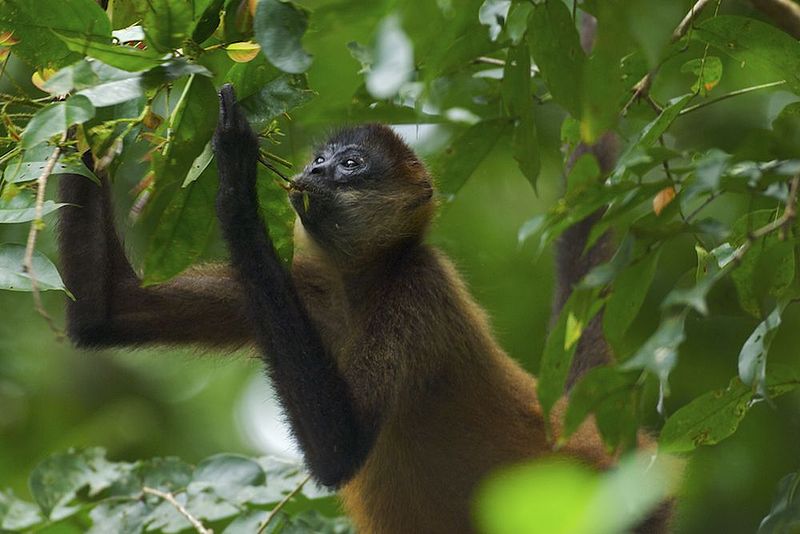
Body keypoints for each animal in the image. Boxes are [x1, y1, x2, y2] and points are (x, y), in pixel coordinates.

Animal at [56, 86, 672, 532]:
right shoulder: (307, 288)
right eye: (320, 158)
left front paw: (235, 177)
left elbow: (339, 446)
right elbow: (107, 310)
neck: (357, 289)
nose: (316, 172)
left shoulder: (416, 289)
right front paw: (81, 103)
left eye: (350, 164)